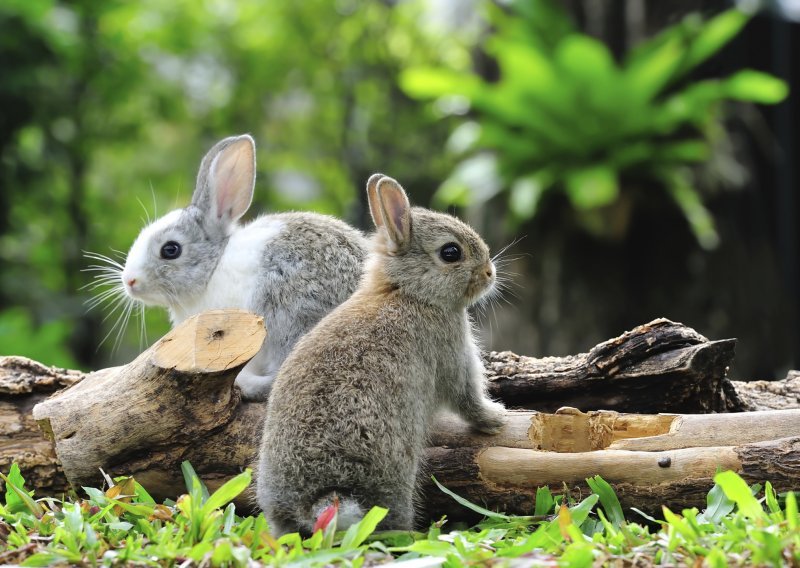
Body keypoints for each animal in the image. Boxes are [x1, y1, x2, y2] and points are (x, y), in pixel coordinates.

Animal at [256, 175, 506, 536]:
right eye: (451, 252)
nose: (489, 273)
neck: (407, 292)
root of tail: (318, 500)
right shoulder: (452, 353)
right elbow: (467, 398)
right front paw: (496, 418)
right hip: (393, 476)